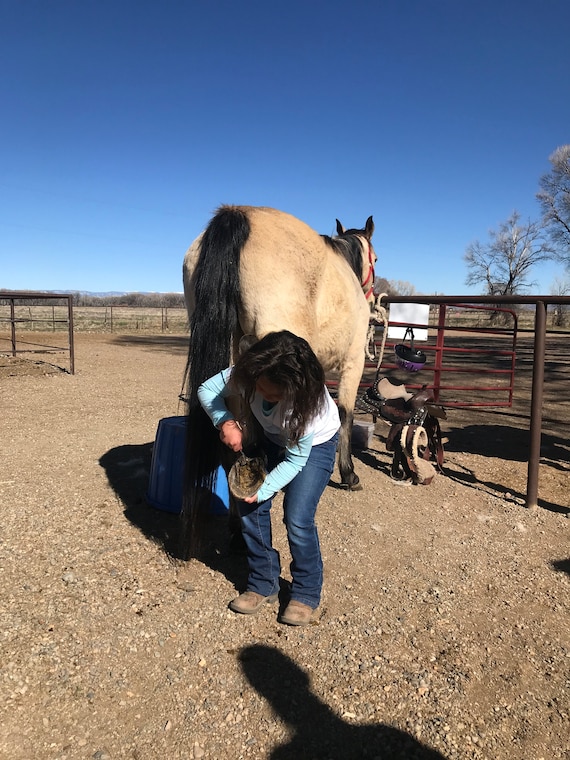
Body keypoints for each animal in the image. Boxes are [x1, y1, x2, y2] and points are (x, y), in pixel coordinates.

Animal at [181, 205, 376, 556]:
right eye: (376, 259)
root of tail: (238, 214)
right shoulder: (353, 362)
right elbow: (345, 415)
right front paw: (349, 474)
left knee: (233, 441)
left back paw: (237, 528)